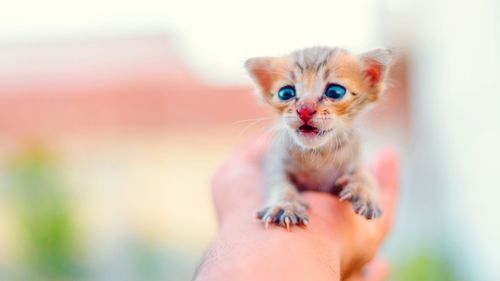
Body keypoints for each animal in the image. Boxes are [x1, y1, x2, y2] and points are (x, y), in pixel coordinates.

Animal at [244, 46, 392, 230]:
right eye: (286, 93)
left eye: (335, 92)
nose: (305, 110)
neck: (317, 155)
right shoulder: (274, 161)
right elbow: (278, 181)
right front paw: (285, 204)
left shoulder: (356, 156)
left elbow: (365, 172)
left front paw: (364, 191)